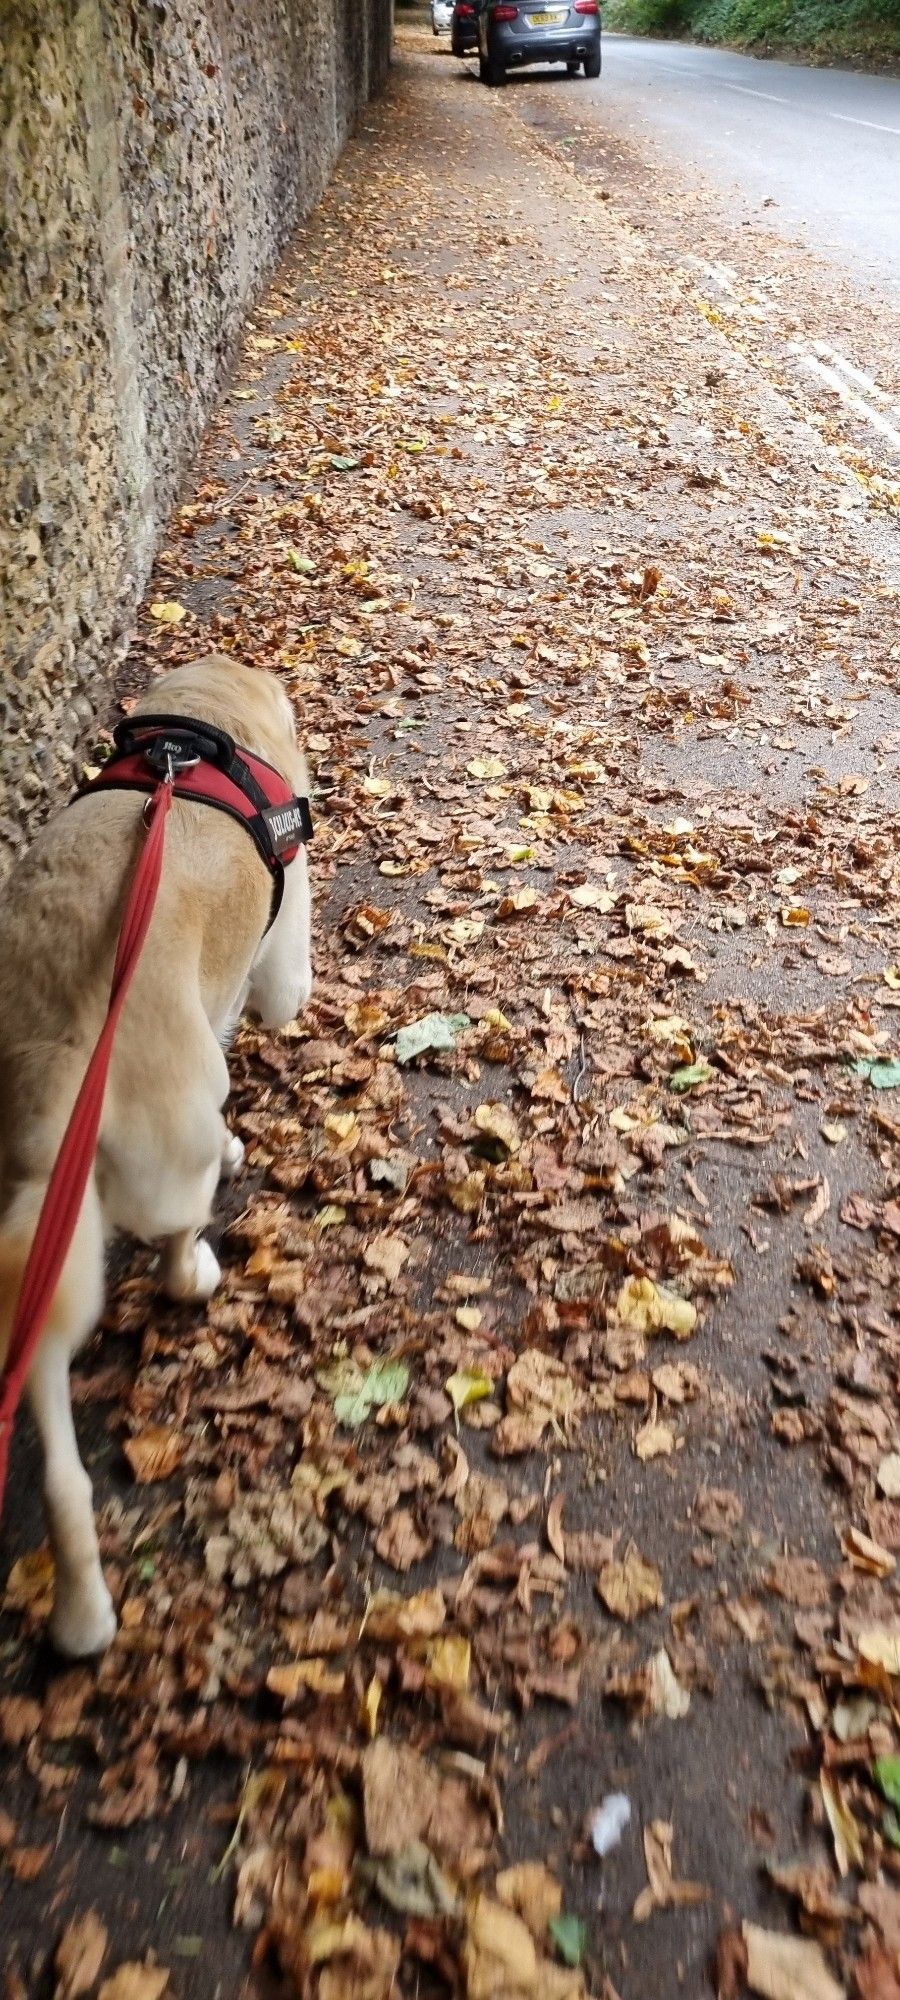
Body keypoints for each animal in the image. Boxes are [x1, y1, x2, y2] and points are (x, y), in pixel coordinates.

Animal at [0, 656, 312, 1656]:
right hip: (172, 1155)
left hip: (36, 1241)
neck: (199, 728)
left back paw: (81, 1615)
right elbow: (266, 999)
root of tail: (63, 1062)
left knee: (58, 1466)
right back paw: (203, 1255)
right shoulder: (282, 958)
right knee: (178, 1246)